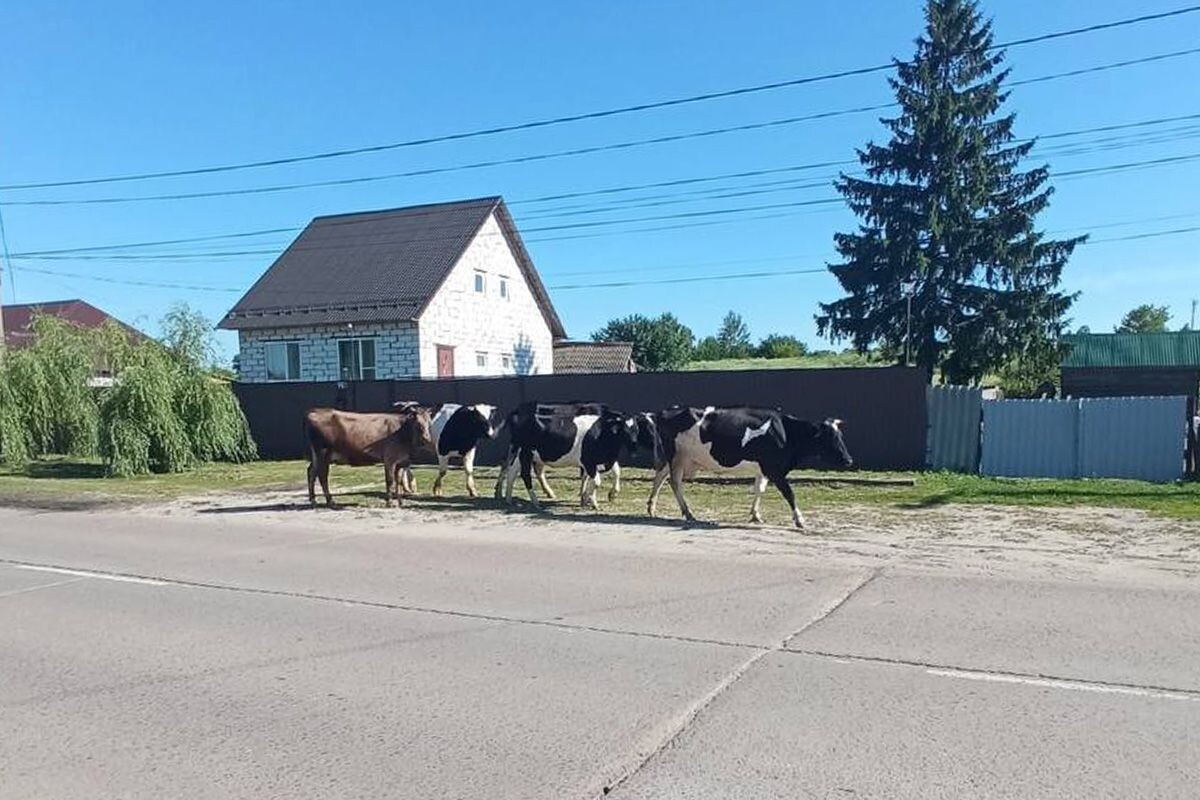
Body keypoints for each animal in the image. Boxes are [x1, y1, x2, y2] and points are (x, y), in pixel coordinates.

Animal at [302, 407, 434, 506]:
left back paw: (313, 500)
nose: (427, 439)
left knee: (311, 471)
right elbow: (390, 480)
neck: (402, 432)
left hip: (317, 455)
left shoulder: (402, 461)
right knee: (322, 476)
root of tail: (315, 411)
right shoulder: (389, 459)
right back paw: (330, 501)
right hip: (323, 452)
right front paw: (390, 502)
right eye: (418, 423)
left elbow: (399, 481)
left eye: (429, 422)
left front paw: (400, 502)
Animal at [496, 402, 648, 510]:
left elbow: (613, 471)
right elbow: (596, 480)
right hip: (524, 452)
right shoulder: (588, 461)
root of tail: (517, 410)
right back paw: (534, 501)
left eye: (636, 429)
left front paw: (594, 498)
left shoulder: (600, 460)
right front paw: (590, 500)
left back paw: (509, 498)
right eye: (624, 429)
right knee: (524, 474)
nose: (634, 447)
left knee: (512, 471)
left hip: (521, 453)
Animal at [648, 407, 854, 532]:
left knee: (660, 477)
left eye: (841, 436)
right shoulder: (774, 469)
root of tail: (664, 412)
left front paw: (755, 515)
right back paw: (687, 512)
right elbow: (789, 493)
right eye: (830, 437)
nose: (848, 460)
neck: (786, 432)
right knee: (674, 482)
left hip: (676, 459)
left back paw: (652, 508)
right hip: (676, 457)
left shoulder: (764, 469)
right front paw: (799, 520)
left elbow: (759, 489)